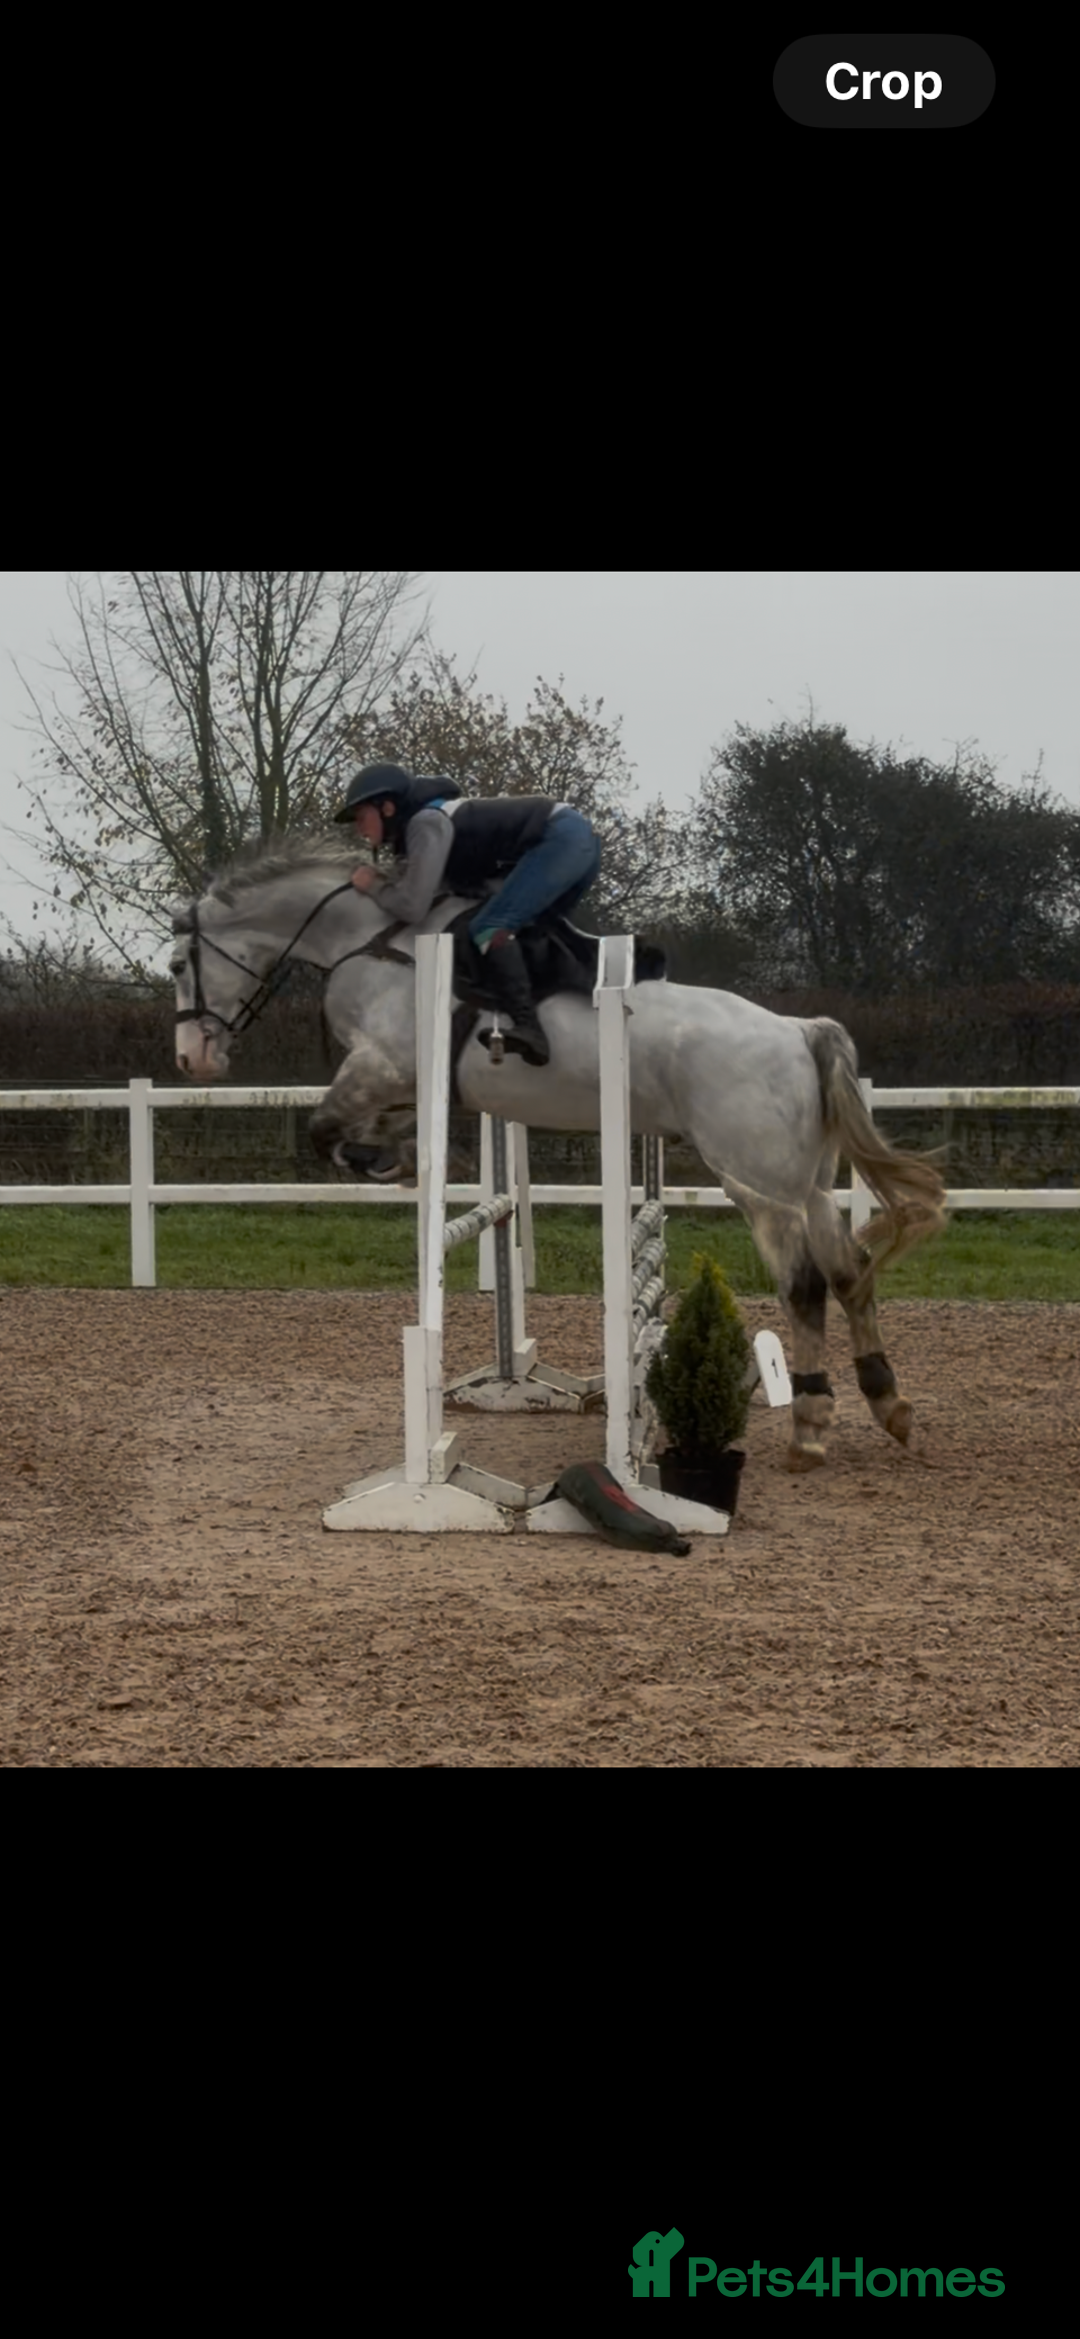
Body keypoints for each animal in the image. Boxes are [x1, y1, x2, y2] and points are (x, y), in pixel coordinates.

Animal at [170, 830, 947, 1471]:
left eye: (178, 964)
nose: (190, 1058)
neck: (370, 942)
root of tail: (796, 1028)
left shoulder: (382, 1065)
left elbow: (327, 1130)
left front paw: (395, 1160)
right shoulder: (403, 1081)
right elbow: (364, 1126)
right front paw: (407, 1152)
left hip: (760, 1187)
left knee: (805, 1286)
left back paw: (811, 1427)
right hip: (808, 1185)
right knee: (850, 1274)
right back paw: (889, 1404)